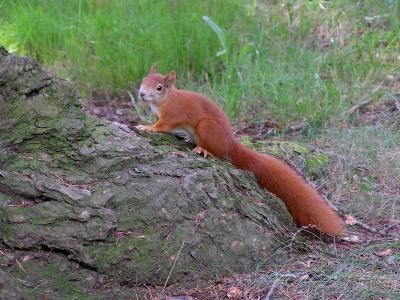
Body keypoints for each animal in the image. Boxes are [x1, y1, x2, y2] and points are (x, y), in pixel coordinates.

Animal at [136, 65, 342, 237]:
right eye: (143, 80)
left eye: (159, 87)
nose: (141, 94)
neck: (166, 99)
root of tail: (230, 143)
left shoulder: (173, 114)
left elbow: (162, 126)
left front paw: (147, 127)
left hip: (207, 128)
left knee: (217, 151)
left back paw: (204, 149)